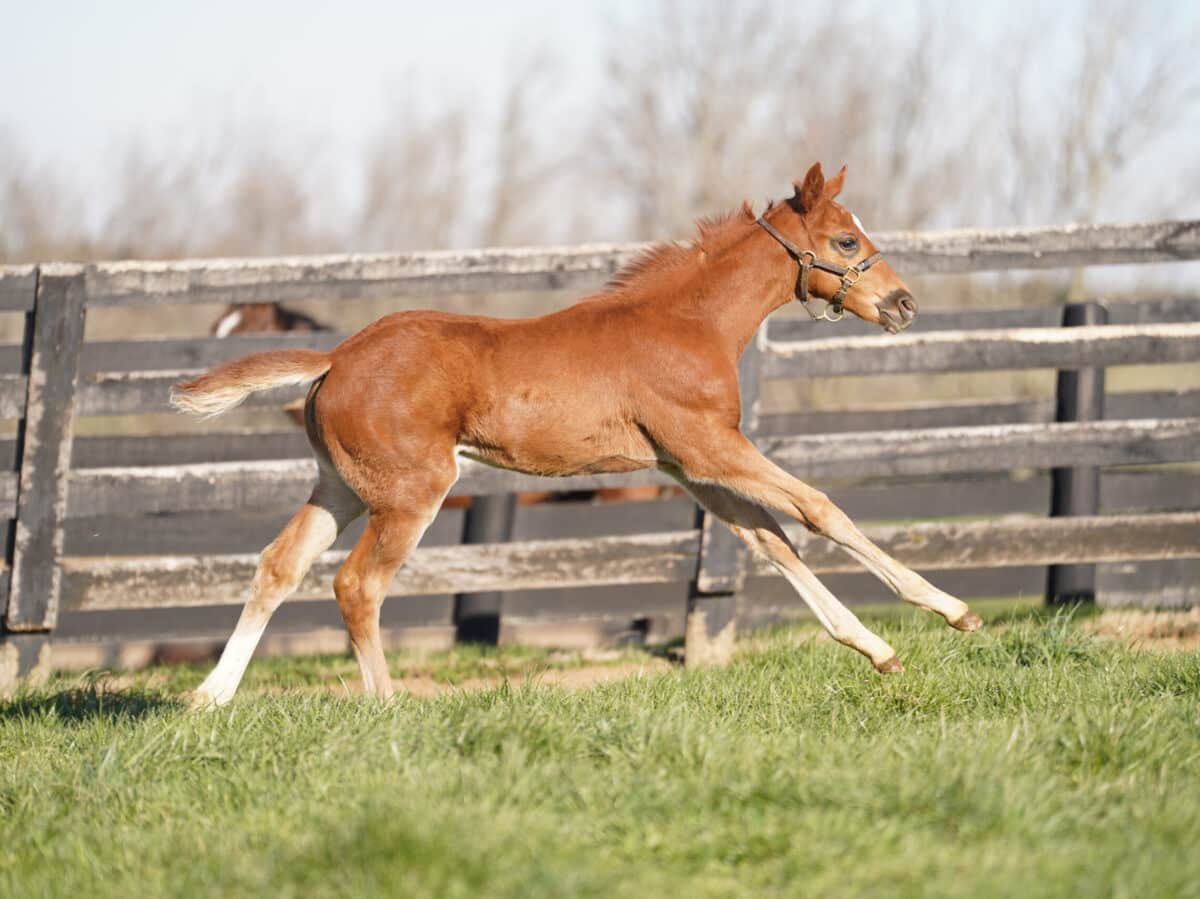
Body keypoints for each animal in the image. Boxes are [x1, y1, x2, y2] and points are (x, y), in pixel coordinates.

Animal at [177, 164, 984, 705]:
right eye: (846, 240)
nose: (904, 305)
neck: (687, 323)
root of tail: (337, 358)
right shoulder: (711, 447)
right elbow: (819, 510)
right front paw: (953, 611)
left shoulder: (690, 466)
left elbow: (769, 541)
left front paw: (877, 649)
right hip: (412, 492)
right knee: (356, 583)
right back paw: (386, 706)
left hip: (340, 487)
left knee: (279, 567)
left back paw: (211, 696)